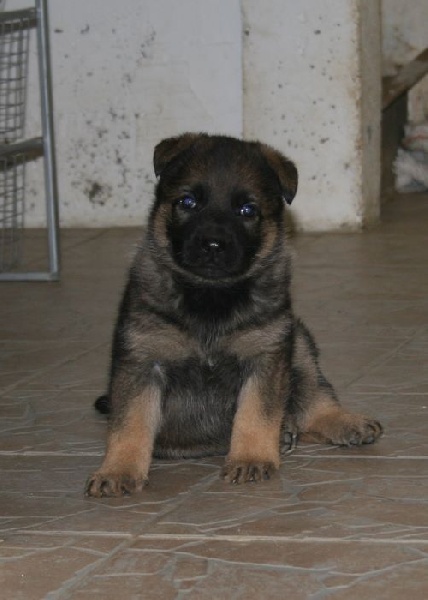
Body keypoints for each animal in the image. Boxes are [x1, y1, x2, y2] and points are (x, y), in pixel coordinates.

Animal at [85, 135, 382, 496]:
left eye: (247, 210)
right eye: (187, 202)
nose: (213, 244)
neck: (211, 297)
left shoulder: (265, 356)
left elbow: (256, 413)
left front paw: (251, 457)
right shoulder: (143, 361)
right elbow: (130, 422)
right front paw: (118, 470)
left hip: (298, 343)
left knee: (314, 397)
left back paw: (342, 422)